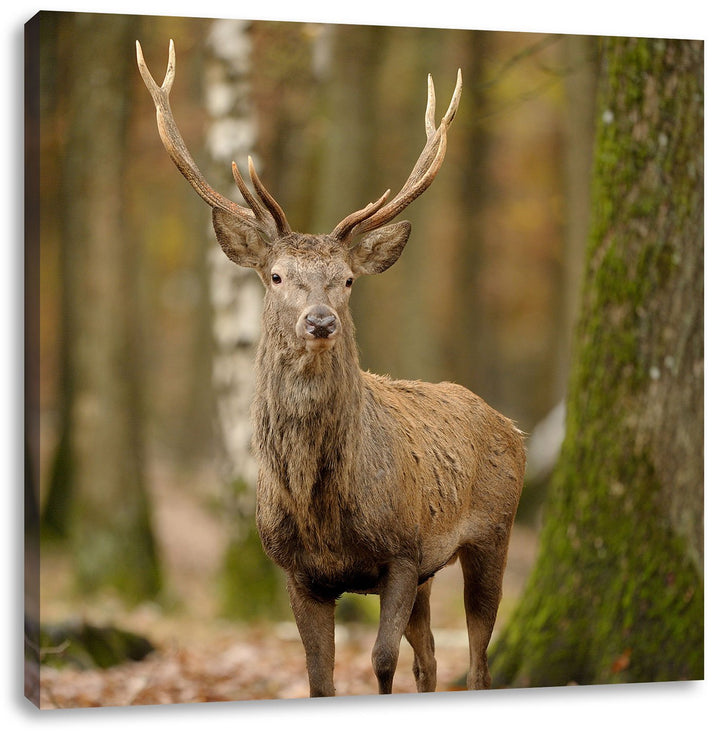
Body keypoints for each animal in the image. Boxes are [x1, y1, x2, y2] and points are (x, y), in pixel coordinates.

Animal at [137, 40, 525, 697]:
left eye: (346, 280)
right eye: (275, 276)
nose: (320, 321)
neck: (324, 513)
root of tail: (512, 426)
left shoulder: (402, 552)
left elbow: (382, 662)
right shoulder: (299, 572)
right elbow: (321, 678)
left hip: (494, 532)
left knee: (477, 661)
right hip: (434, 571)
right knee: (432, 660)